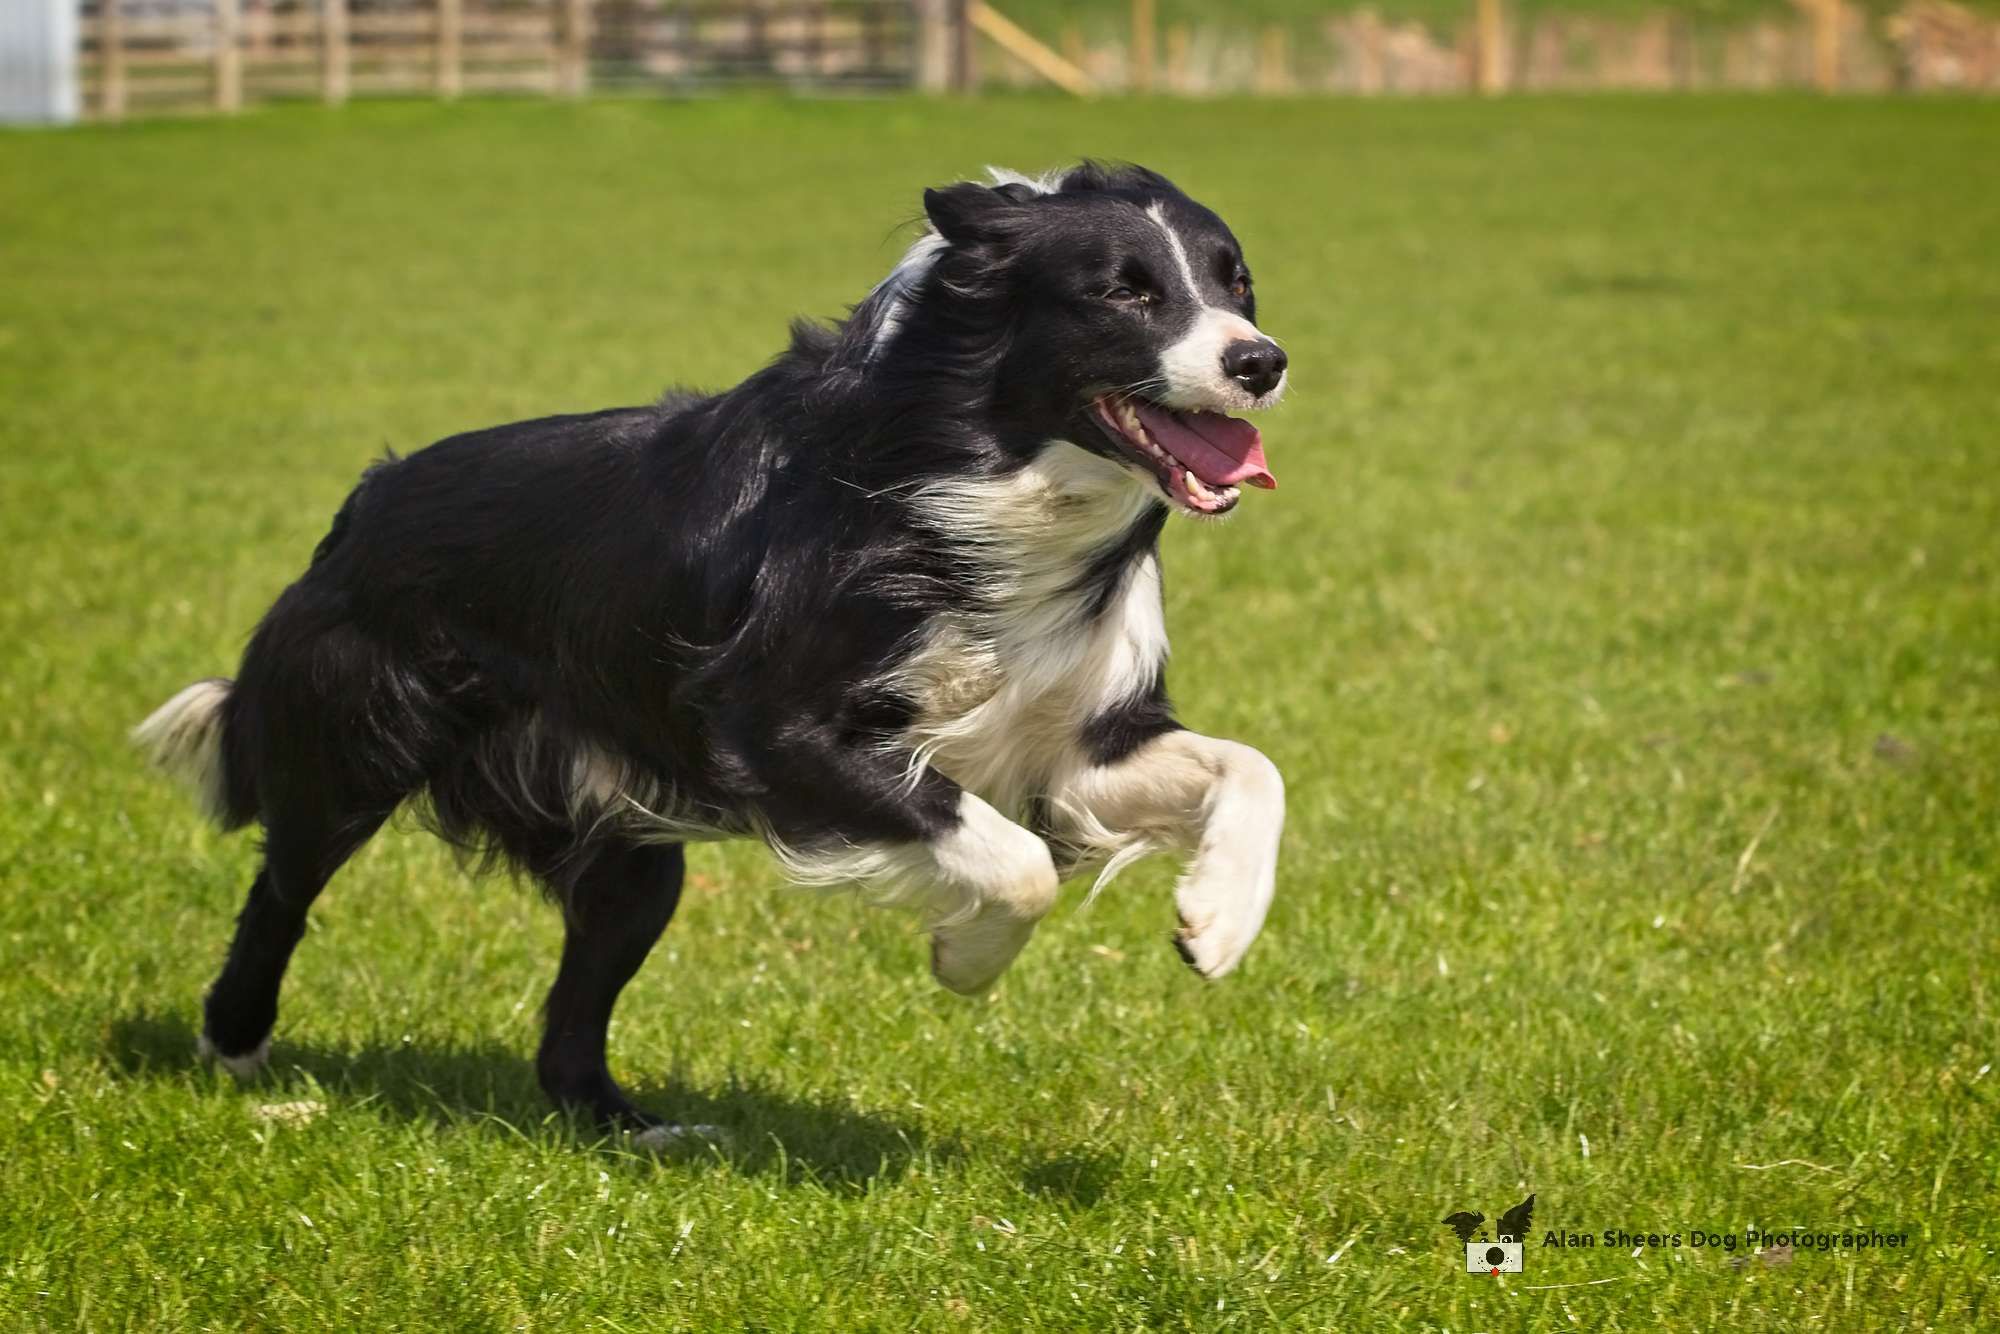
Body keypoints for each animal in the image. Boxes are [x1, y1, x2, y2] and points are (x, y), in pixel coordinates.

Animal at [141, 162, 1296, 1144]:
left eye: (1234, 278)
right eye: (1123, 292)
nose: (1260, 360)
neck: (982, 468)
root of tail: (363, 503)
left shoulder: (1073, 739)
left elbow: (1253, 769)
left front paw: (1217, 922)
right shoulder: (772, 725)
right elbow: (1015, 863)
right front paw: (965, 958)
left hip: (624, 846)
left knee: (576, 1007)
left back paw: (632, 1130)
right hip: (352, 747)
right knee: (282, 887)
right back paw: (235, 1050)